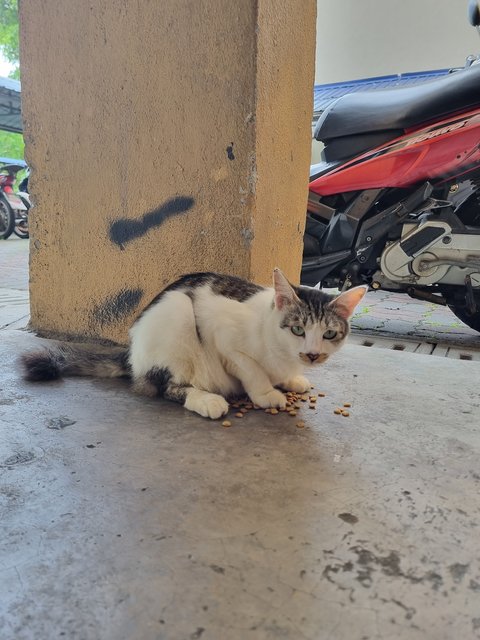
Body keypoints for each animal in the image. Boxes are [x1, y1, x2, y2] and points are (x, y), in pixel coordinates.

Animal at [21, 268, 368, 420]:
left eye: (329, 335)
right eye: (297, 329)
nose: (312, 354)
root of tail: (131, 354)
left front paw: (292, 379)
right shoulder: (224, 337)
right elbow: (252, 369)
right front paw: (266, 393)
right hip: (176, 312)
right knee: (164, 386)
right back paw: (205, 400)